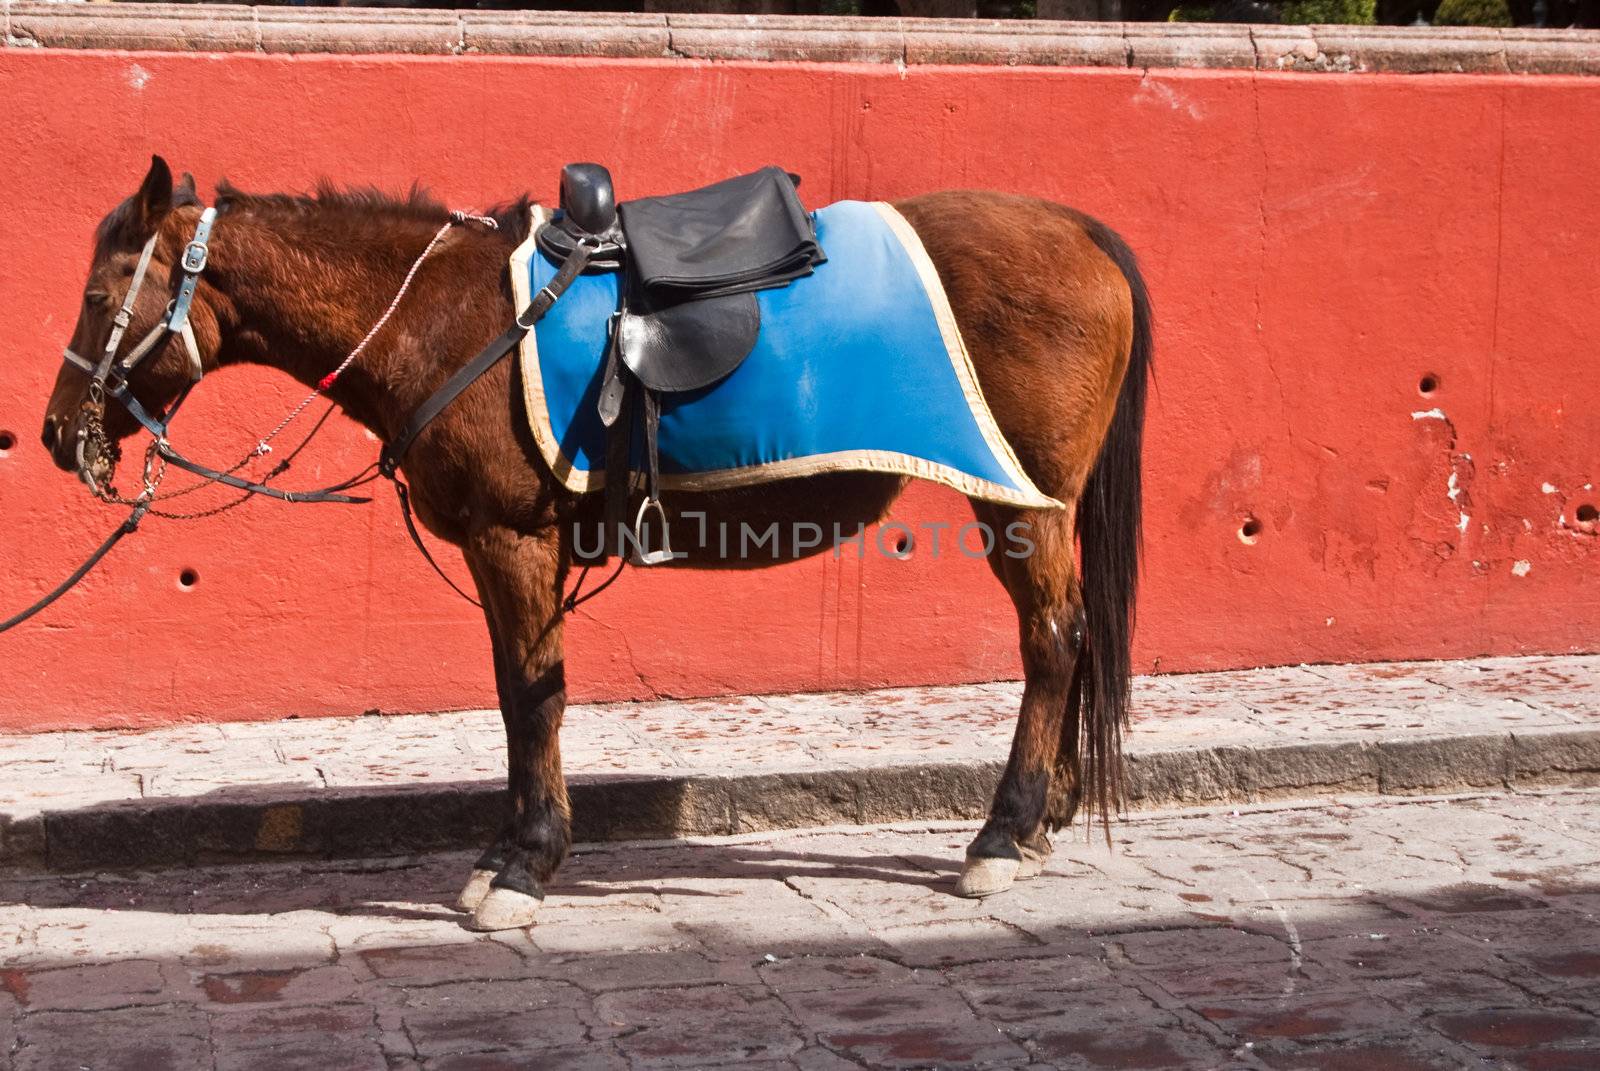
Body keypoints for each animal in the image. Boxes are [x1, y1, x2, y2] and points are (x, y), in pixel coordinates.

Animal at [40, 156, 1152, 928]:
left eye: (97, 298)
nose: (55, 434)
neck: (447, 317)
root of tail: (1079, 229)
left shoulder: (514, 539)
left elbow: (532, 699)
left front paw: (523, 862)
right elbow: (516, 694)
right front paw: (508, 851)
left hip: (1022, 504)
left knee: (1052, 640)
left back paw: (1003, 832)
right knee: (1071, 639)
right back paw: (1045, 819)